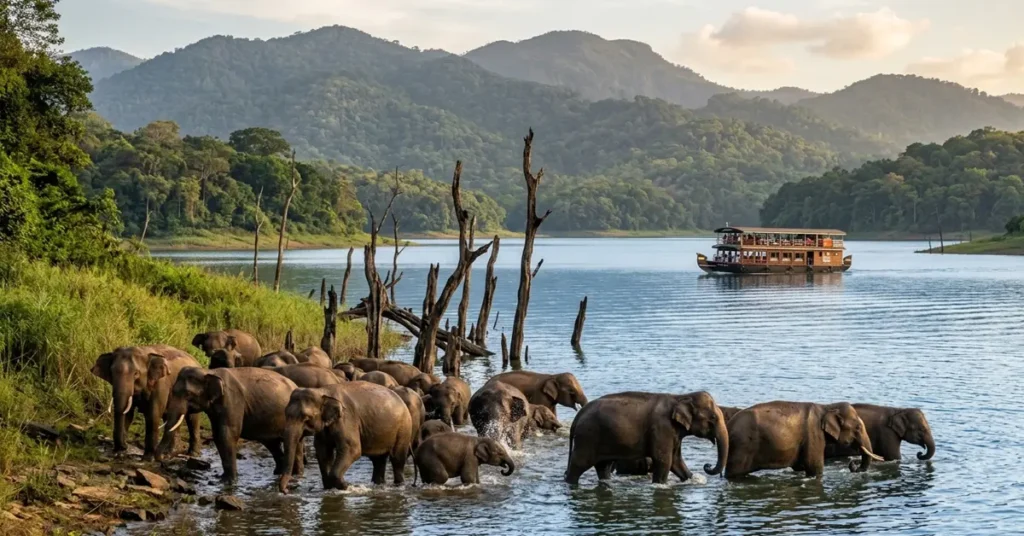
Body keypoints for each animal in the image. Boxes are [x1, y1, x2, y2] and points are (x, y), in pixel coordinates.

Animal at [156, 367, 301, 483]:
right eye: (173, 391)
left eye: (188, 394)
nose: (162, 458)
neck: (209, 372)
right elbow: (218, 436)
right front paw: (223, 478)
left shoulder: (232, 401)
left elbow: (227, 435)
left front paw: (230, 481)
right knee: (272, 444)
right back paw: (278, 472)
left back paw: (295, 475)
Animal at [278, 382, 413, 492]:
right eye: (285, 414)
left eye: (306, 418)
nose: (287, 490)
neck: (323, 392)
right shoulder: (324, 428)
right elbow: (323, 452)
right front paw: (330, 487)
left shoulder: (346, 419)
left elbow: (353, 449)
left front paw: (345, 486)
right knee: (378, 461)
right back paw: (378, 484)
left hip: (404, 428)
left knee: (397, 459)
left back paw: (398, 485)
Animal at [564, 391, 728, 485]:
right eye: (713, 418)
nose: (707, 465)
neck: (680, 397)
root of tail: (577, 416)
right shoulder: (662, 428)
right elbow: (664, 461)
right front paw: (660, 485)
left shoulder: (674, 433)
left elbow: (676, 461)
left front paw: (691, 479)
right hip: (587, 437)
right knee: (578, 465)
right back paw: (570, 483)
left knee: (603, 467)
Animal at [725, 401, 885, 479]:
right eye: (857, 427)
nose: (853, 465)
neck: (827, 407)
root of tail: (729, 425)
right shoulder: (814, 433)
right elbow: (815, 466)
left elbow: (800, 465)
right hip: (742, 447)